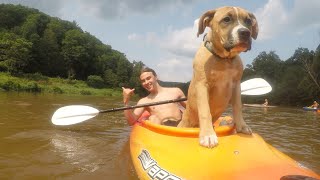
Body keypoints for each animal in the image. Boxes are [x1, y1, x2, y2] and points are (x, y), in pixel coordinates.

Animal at [179, 6, 258, 148]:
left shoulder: (236, 85)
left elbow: (238, 106)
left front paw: (242, 126)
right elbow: (205, 111)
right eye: (226, 19)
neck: (224, 59)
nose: (245, 32)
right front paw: (208, 135)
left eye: (248, 21)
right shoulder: (202, 85)